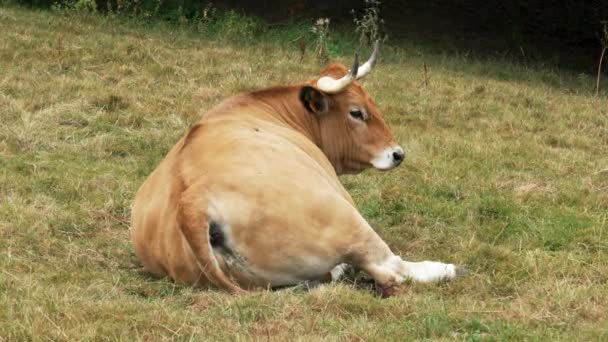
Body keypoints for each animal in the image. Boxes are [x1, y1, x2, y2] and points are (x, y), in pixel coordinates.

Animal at [131, 41, 464, 296]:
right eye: (356, 112)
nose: (397, 154)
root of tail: (193, 204)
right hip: (347, 220)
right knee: (390, 269)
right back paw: (447, 268)